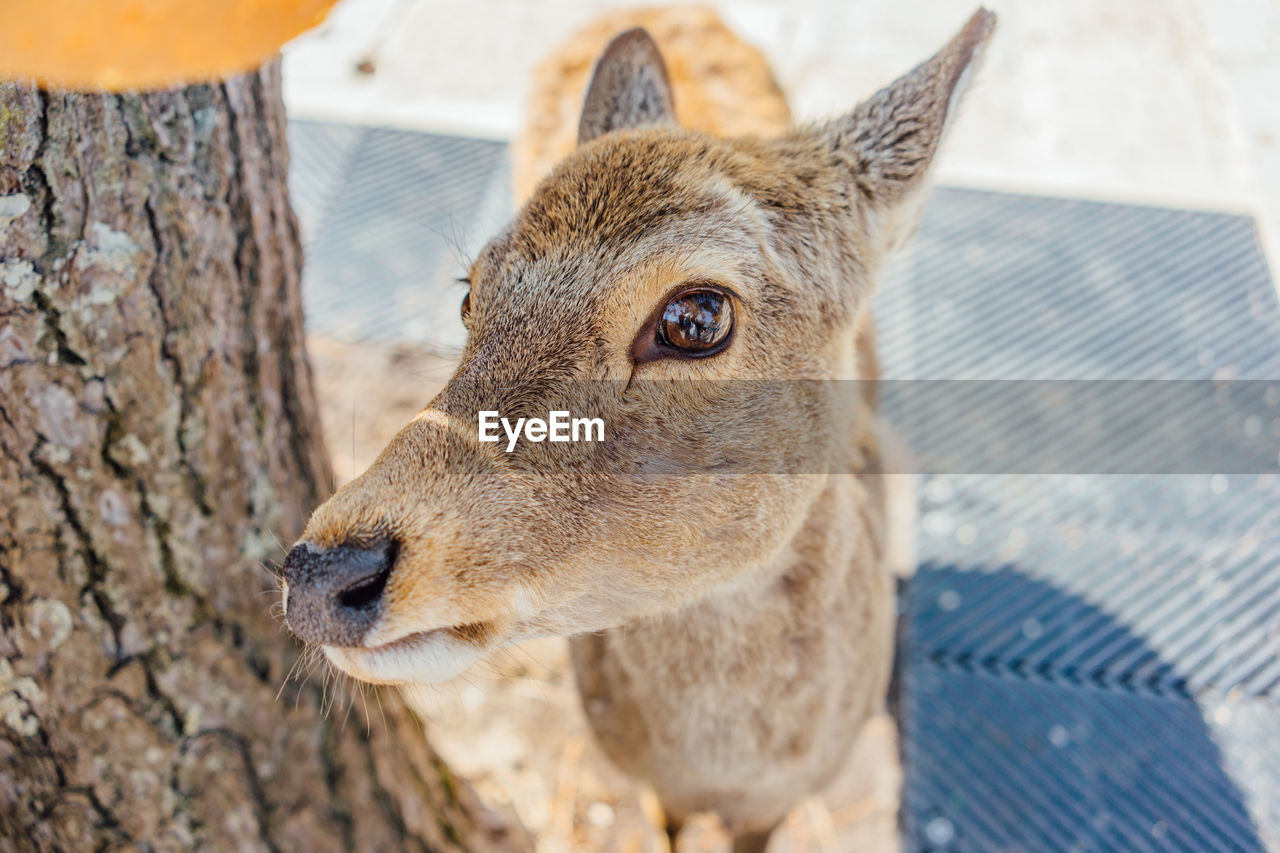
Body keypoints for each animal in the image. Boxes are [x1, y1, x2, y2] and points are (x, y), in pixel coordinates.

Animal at [285, 9, 993, 845]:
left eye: (696, 317)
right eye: (469, 295)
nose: (321, 572)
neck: (725, 767)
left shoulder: (782, 799)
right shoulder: (652, 784)